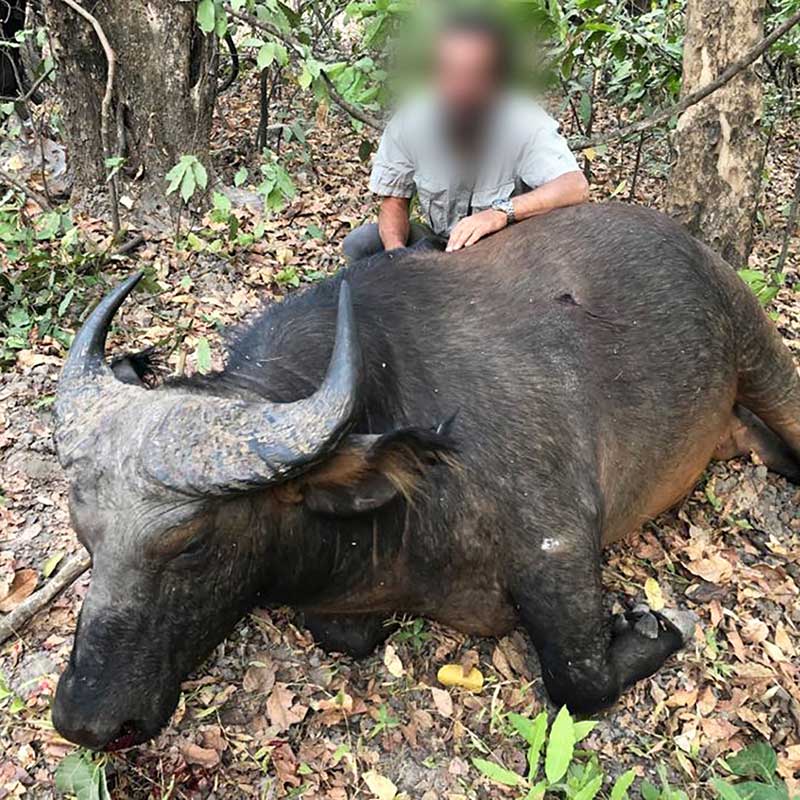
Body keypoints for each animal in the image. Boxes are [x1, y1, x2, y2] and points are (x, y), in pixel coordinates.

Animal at [51, 202, 800, 752]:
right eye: (86, 535)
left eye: (193, 544)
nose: (86, 720)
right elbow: (344, 634)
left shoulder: (557, 548)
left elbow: (581, 682)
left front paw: (653, 627)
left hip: (765, 359)